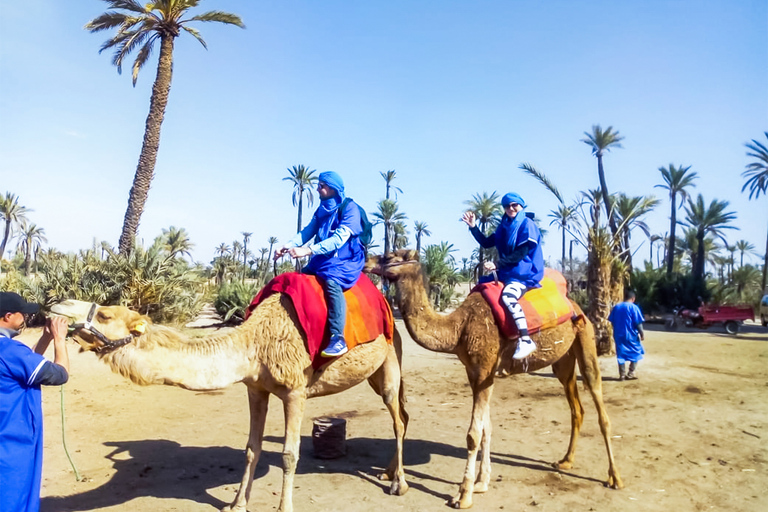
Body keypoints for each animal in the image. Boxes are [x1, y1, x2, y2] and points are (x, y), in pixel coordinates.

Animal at [49, 296, 408, 512]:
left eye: (105, 314)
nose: (57, 304)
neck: (253, 345)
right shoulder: (255, 389)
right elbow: (251, 449)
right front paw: (237, 504)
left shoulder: (295, 391)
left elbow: (289, 455)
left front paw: (284, 508)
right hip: (373, 372)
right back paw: (389, 471)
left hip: (390, 361)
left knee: (398, 418)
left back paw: (399, 484)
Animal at [364, 251, 620, 508]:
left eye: (389, 256)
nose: (366, 261)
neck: (459, 328)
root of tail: (574, 304)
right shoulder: (476, 374)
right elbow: (486, 429)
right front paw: (481, 483)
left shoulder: (484, 369)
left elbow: (473, 435)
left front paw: (464, 495)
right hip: (563, 360)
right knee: (576, 407)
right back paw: (566, 461)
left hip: (586, 338)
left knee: (599, 403)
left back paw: (614, 478)